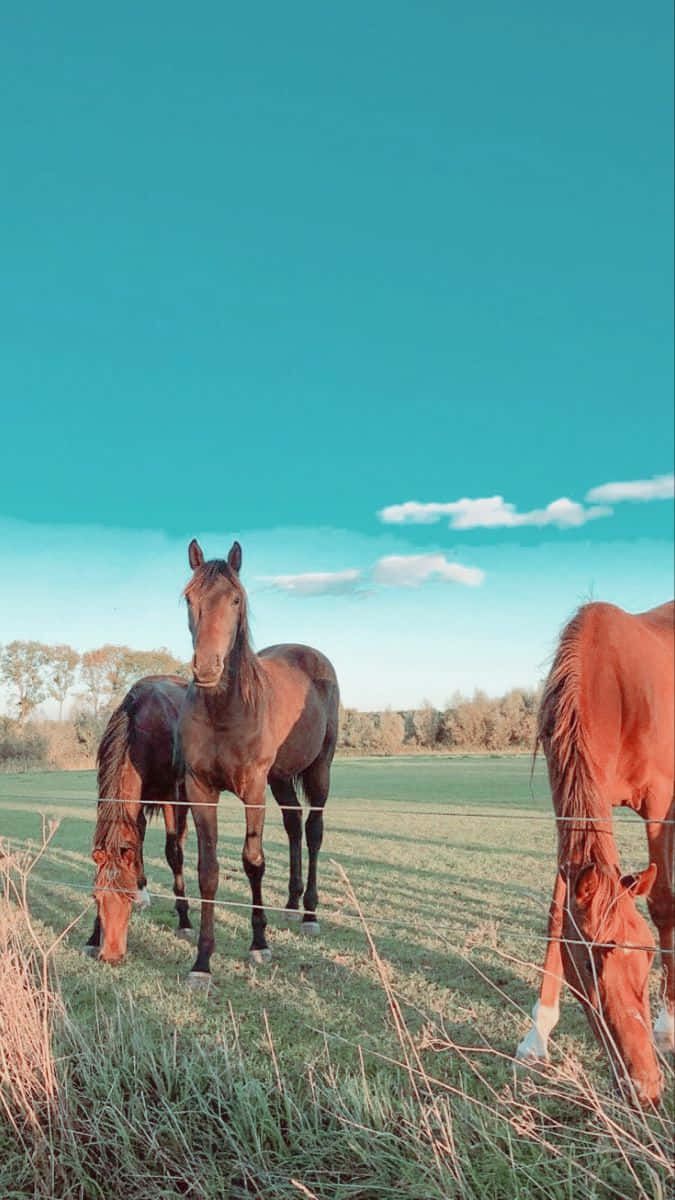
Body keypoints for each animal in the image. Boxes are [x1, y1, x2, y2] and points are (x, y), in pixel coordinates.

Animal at [85, 675, 193, 963]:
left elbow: (173, 852)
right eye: (96, 897)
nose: (110, 956)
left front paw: (185, 920)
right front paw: (93, 936)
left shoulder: (170, 797)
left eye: (127, 899)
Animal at [177, 538, 339, 985]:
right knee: (294, 826)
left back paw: (310, 912)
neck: (225, 711)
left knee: (313, 830)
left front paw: (259, 943)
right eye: (189, 598)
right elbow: (208, 870)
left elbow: (253, 862)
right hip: (281, 779)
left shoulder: (252, 789)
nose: (206, 668)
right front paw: (202, 961)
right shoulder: (200, 789)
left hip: (319, 770)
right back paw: (292, 903)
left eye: (235, 599)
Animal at [515, 601, 674, 1106]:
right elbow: (555, 917)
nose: (646, 1088)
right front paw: (537, 1036)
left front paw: (668, 1026)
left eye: (647, 954)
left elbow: (663, 904)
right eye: (589, 964)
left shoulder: (660, 803)